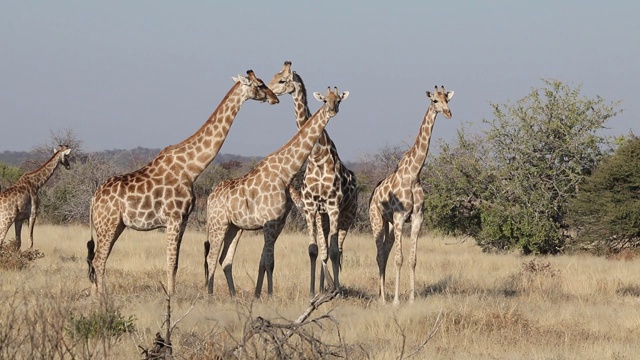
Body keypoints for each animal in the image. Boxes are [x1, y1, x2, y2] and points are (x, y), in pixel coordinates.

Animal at [85, 69, 278, 296]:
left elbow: (176, 262)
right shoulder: (173, 217)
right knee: (98, 260)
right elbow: (170, 262)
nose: (275, 98)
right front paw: (171, 296)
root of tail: (93, 199)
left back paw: (95, 295)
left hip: (115, 225)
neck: (191, 168)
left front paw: (172, 293)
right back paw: (101, 298)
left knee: (97, 259)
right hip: (108, 224)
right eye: (260, 84)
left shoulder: (184, 219)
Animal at [204, 85, 348, 298]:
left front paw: (265, 294)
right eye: (324, 100)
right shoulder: (269, 223)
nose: (332, 110)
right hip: (217, 223)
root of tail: (209, 197)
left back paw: (233, 294)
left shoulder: (278, 223)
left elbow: (267, 262)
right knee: (212, 257)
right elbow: (269, 262)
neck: (285, 172)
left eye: (338, 100)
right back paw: (210, 294)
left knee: (225, 259)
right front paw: (269, 296)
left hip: (234, 227)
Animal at [268, 60, 360, 296]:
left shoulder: (334, 206)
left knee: (339, 249)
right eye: (274, 77)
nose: (270, 91)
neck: (318, 156)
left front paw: (336, 291)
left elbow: (335, 251)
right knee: (325, 247)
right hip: (323, 217)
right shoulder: (311, 207)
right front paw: (312, 291)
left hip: (347, 216)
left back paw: (335, 287)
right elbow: (313, 249)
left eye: (282, 80)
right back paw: (323, 287)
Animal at [368, 86, 452, 306]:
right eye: (434, 100)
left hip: (389, 224)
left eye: (447, 99)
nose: (448, 113)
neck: (414, 174)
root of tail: (372, 195)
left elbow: (413, 260)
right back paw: (383, 300)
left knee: (385, 252)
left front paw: (412, 299)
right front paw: (397, 301)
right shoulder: (399, 217)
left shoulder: (417, 217)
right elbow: (399, 259)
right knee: (380, 255)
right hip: (377, 220)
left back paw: (381, 294)